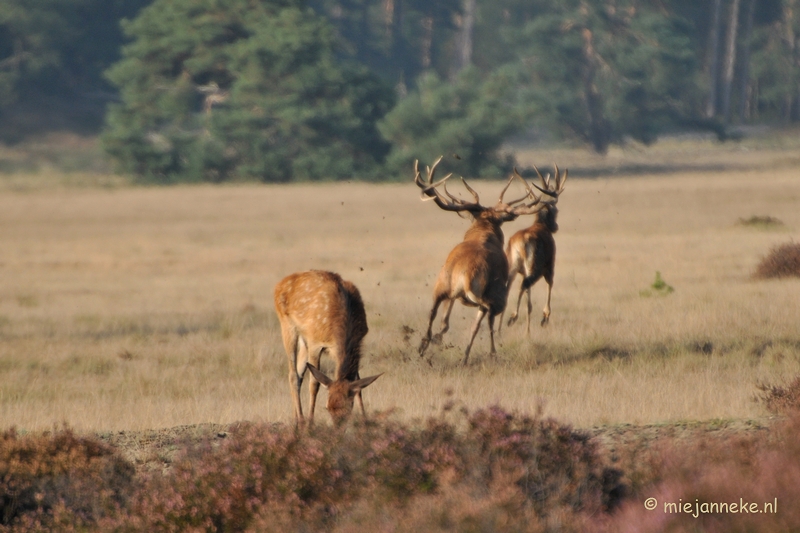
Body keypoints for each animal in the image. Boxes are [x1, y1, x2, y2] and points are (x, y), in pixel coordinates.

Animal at [274, 270, 382, 424]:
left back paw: (295, 421)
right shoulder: (315, 343)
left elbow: (358, 385)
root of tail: (279, 284)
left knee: (299, 374)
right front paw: (310, 423)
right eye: (327, 408)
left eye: (349, 407)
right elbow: (314, 383)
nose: (338, 427)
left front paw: (365, 421)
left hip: (304, 339)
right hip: (287, 325)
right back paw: (301, 420)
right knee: (293, 375)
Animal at [412, 156, 556, 364]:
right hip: (494, 291)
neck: (483, 233)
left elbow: (452, 322)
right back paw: (492, 351)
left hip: (441, 284)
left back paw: (425, 346)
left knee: (434, 312)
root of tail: (465, 276)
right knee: (490, 314)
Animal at [504, 164, 564, 334]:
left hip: (513, 267)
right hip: (534, 267)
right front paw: (545, 317)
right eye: (556, 210)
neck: (540, 225)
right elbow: (550, 284)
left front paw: (528, 331)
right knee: (524, 284)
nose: (555, 227)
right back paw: (513, 318)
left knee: (508, 288)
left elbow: (529, 304)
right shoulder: (550, 265)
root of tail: (519, 243)